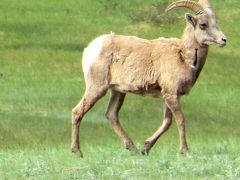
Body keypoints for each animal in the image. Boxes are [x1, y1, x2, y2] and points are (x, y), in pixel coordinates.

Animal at [71, 0, 227, 157]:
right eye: (203, 24)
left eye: (215, 22)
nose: (224, 40)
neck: (183, 56)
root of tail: (91, 48)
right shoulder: (171, 95)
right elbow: (180, 120)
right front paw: (185, 151)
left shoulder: (168, 96)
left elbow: (167, 122)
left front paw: (145, 148)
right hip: (97, 88)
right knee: (78, 111)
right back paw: (77, 152)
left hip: (118, 91)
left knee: (111, 115)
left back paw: (133, 149)